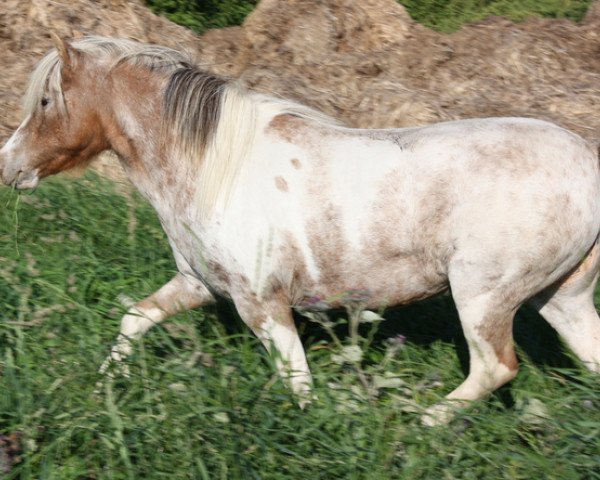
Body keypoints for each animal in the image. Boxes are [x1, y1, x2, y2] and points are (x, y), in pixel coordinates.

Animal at [1, 34, 600, 424]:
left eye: (46, 100)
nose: (9, 166)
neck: (214, 167)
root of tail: (588, 164)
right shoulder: (200, 285)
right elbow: (134, 319)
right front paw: (105, 386)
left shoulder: (262, 304)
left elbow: (298, 381)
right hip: (562, 298)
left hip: (482, 294)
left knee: (494, 368)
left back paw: (422, 422)